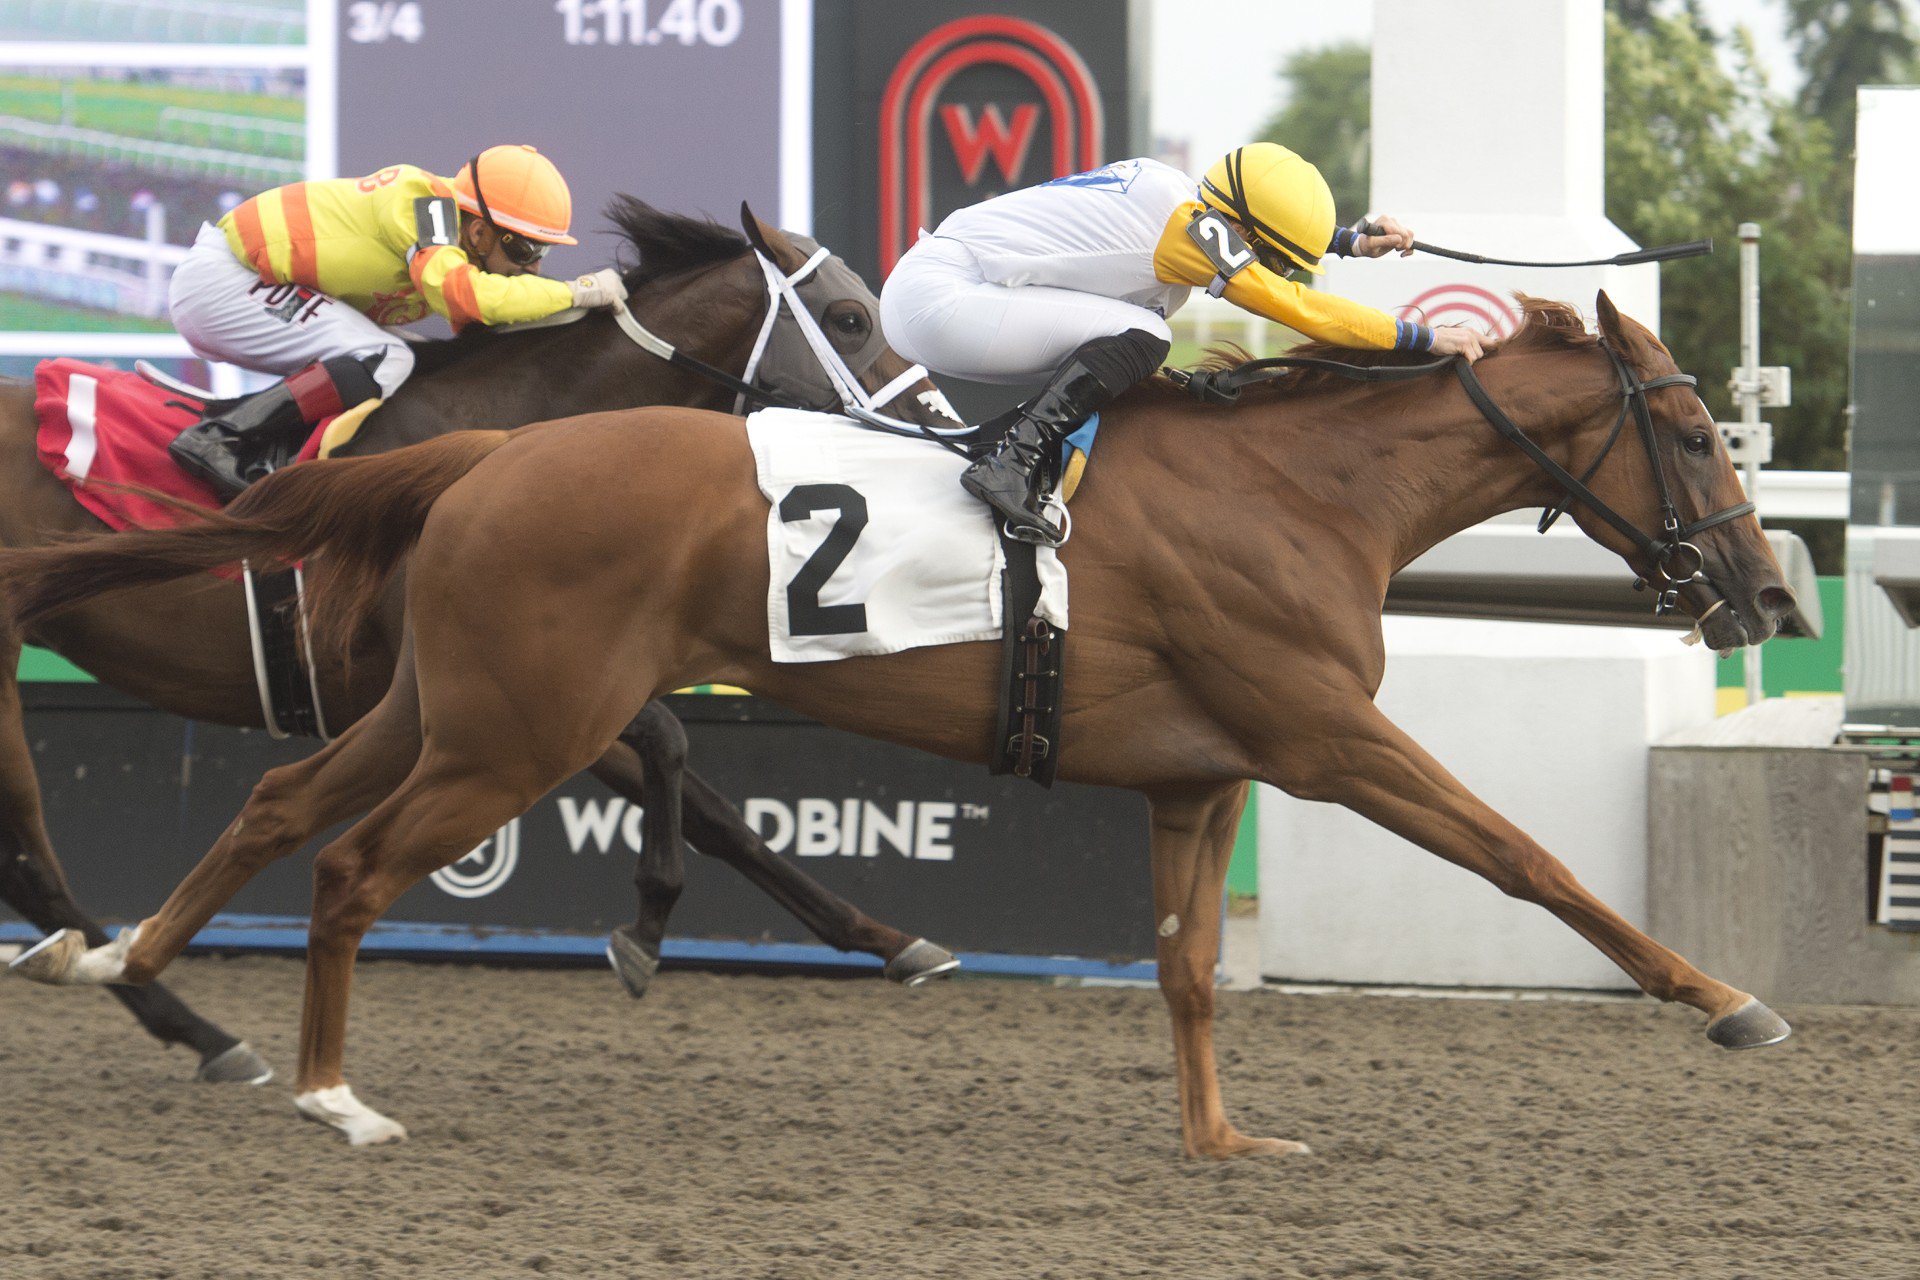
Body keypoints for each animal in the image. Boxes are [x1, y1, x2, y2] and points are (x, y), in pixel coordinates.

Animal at [0, 195, 960, 1090]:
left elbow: (717, 808)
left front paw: (892, 941)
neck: (517, 424)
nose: (939, 420)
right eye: (851, 318)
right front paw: (648, 925)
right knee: (33, 865)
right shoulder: (512, 684)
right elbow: (670, 746)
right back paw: (196, 1028)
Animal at [3, 295, 1797, 1159]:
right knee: (354, 868)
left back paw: (144, 970)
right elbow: (1526, 858)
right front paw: (1729, 1001)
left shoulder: (1200, 775)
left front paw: (1225, 1140)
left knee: (282, 803)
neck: (1302, 488)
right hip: (518, 732)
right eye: (1698, 431)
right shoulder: (1325, 738)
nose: (1768, 592)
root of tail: (486, 457)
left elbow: (1187, 967)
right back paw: (326, 1092)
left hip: (448, 706)